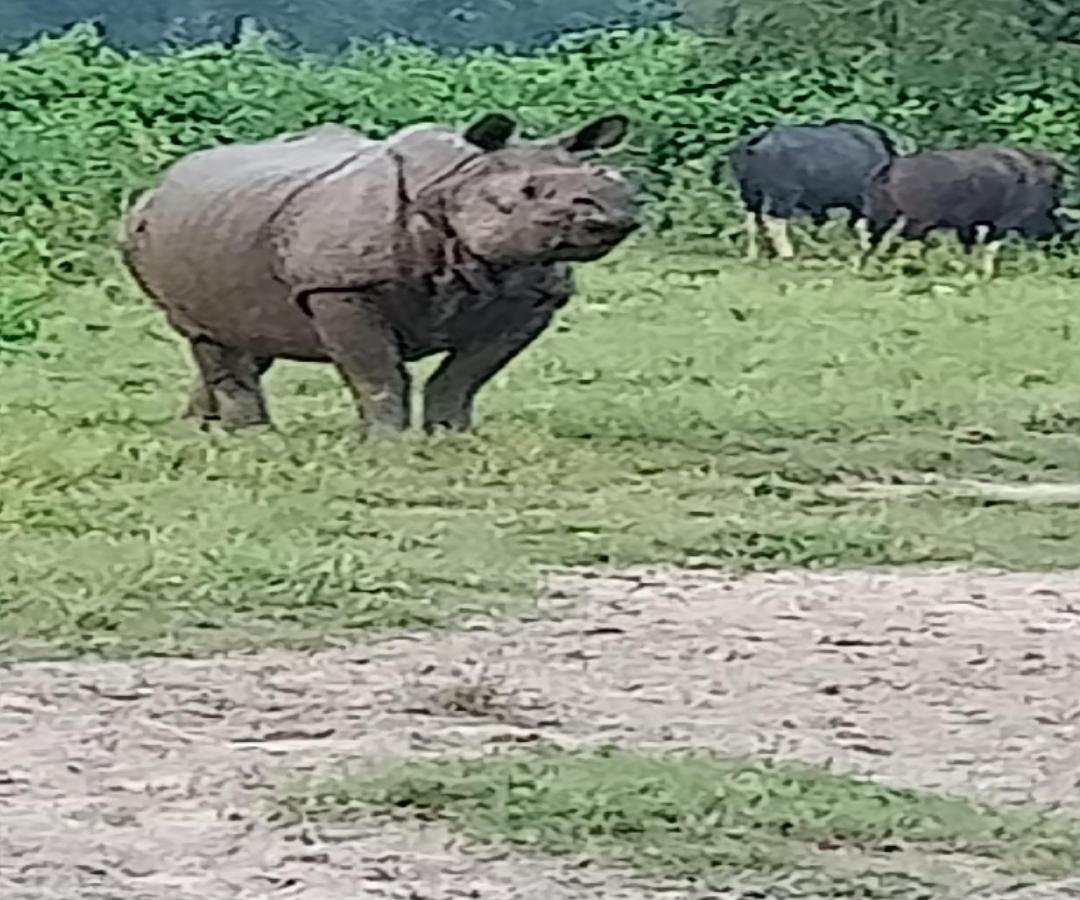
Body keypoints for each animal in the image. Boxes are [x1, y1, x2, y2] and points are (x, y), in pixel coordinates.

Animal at [118, 113, 639, 436]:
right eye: (529, 192)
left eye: (612, 179)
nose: (612, 212)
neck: (454, 183)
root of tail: (158, 186)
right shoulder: (341, 285)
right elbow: (377, 370)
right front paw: (388, 443)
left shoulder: (532, 297)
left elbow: (464, 376)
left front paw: (451, 436)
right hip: (145, 229)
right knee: (204, 333)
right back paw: (250, 436)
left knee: (246, 330)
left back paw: (201, 427)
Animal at [721, 118, 898, 259]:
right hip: (784, 194)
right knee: (774, 219)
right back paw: (787, 253)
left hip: (750, 192)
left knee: (752, 219)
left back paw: (752, 254)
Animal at [855, 142, 1075, 275]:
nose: (1061, 246)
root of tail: (890, 168)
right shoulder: (1002, 223)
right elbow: (987, 248)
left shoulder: (968, 224)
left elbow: (969, 248)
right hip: (916, 222)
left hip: (881, 216)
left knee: (874, 240)